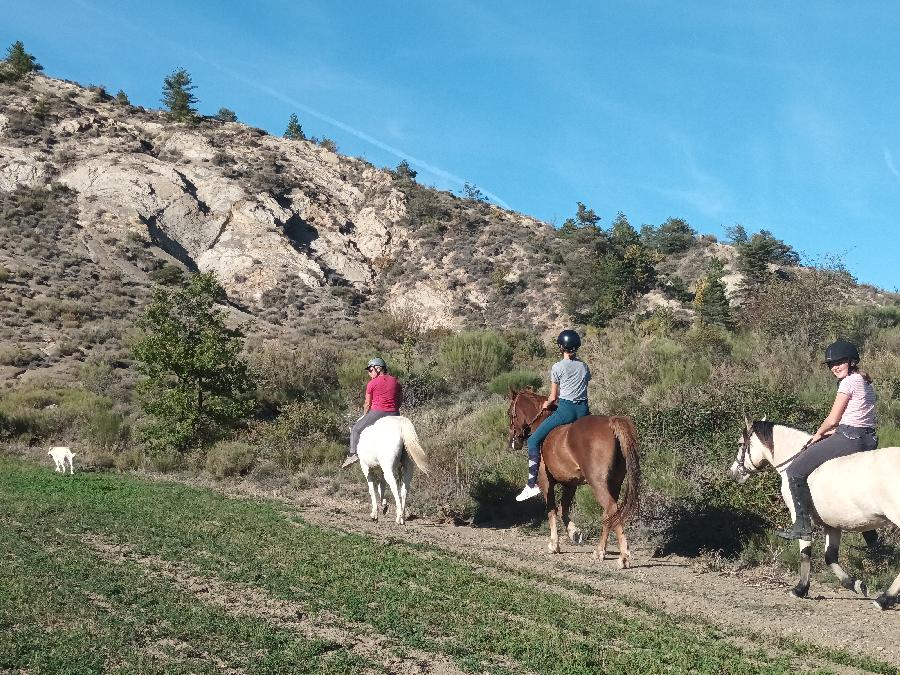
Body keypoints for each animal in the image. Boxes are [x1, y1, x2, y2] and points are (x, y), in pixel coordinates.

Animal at [506, 388, 640, 568]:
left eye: (510, 413)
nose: (513, 442)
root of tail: (611, 422)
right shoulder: (570, 483)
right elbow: (564, 509)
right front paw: (574, 533)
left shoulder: (545, 481)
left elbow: (552, 509)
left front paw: (554, 544)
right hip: (614, 483)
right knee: (608, 514)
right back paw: (600, 551)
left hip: (598, 483)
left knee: (611, 509)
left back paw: (623, 556)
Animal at [728, 420, 900, 608]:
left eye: (740, 444)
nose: (732, 472)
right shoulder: (831, 524)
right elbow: (830, 556)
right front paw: (855, 584)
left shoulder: (800, 517)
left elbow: (805, 551)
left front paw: (800, 589)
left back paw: (885, 599)